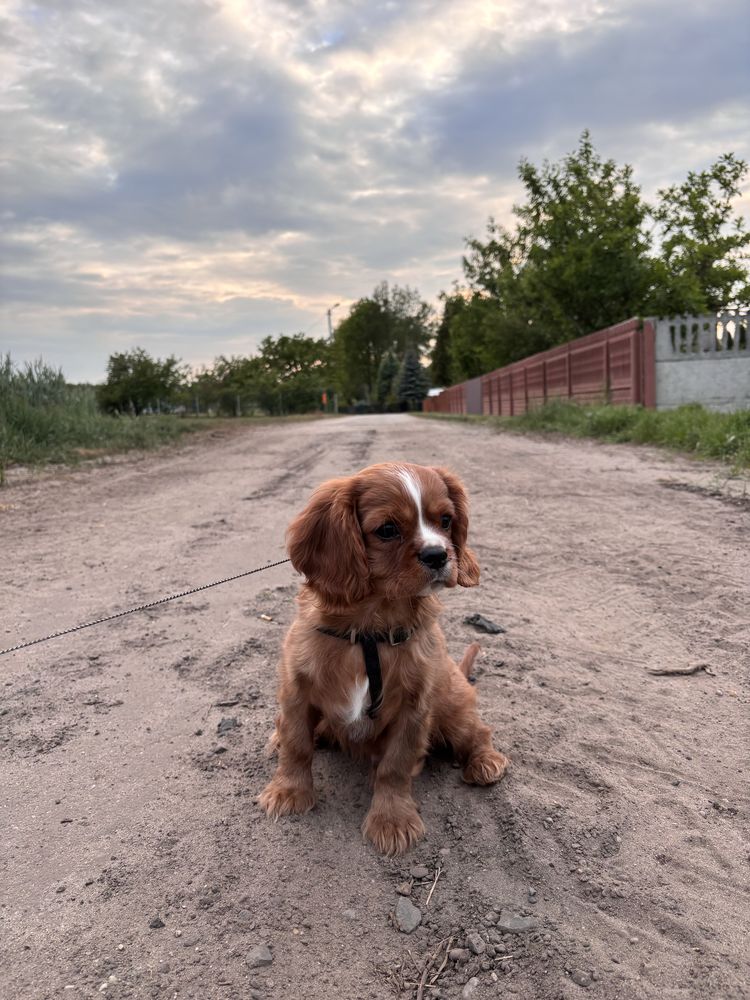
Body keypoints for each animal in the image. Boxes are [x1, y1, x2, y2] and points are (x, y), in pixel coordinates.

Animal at [260, 464, 512, 856]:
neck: (370, 629)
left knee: (477, 731)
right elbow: (297, 744)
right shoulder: (296, 691)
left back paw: (486, 761)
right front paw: (288, 791)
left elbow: (395, 765)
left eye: (446, 520)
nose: (439, 555)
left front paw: (391, 821)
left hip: (452, 707)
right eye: (388, 530)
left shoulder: (414, 709)